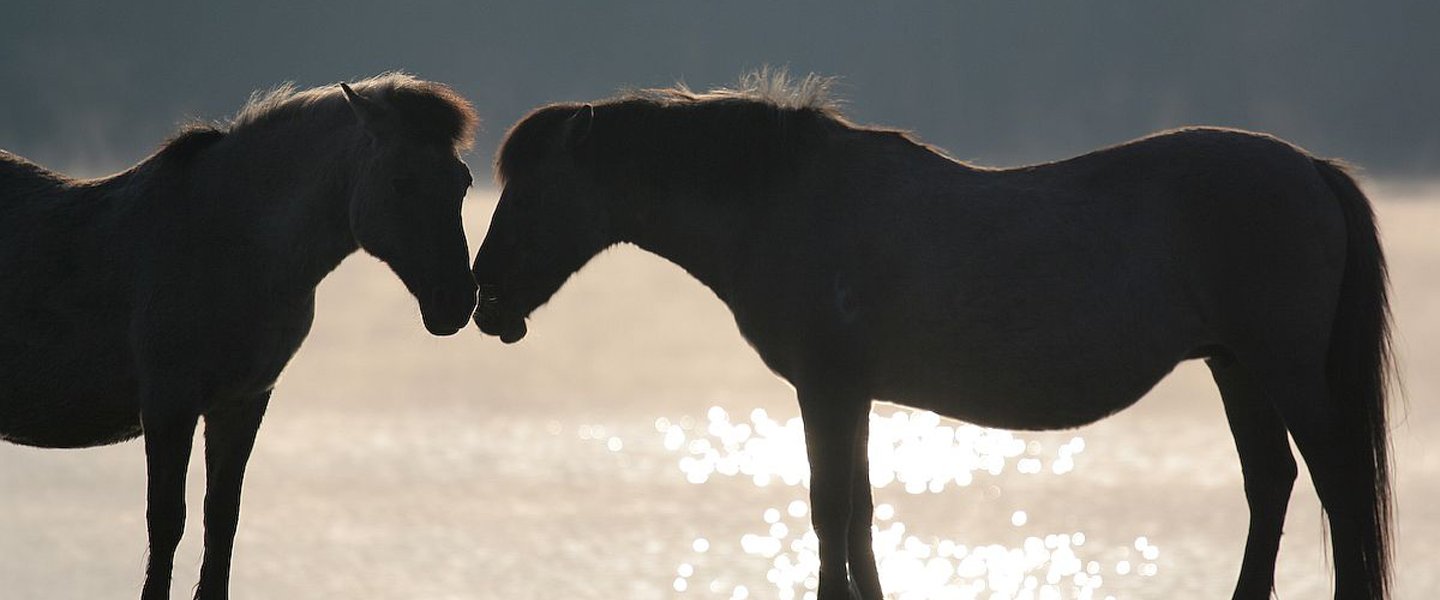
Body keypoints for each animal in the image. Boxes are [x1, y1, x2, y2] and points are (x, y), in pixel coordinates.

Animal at [1, 73, 483, 598]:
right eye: (401, 181)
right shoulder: (169, 404)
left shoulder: (243, 401)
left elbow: (221, 518)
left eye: (463, 182)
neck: (228, 240)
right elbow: (166, 522)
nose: (457, 300)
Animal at [472, 73, 1393, 598]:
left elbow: (830, 510)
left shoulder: (829, 388)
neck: (784, 200)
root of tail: (1309, 167)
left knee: (1339, 486)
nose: (486, 299)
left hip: (1283, 369)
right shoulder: (852, 394)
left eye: (528, 190)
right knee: (1271, 483)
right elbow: (861, 513)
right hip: (1237, 366)